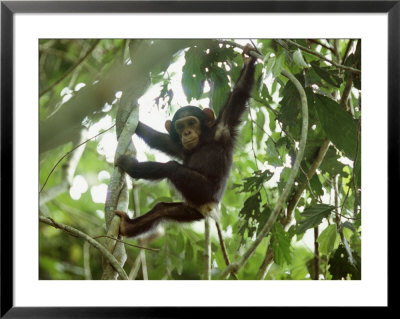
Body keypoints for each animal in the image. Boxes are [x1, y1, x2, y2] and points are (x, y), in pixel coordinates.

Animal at [115, 46, 256, 239]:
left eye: (191, 122)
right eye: (181, 126)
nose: (187, 133)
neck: (203, 140)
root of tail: (208, 208)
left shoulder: (224, 127)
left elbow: (239, 93)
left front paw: (248, 61)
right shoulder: (179, 146)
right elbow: (160, 140)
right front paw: (129, 119)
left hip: (202, 190)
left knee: (171, 167)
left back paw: (131, 167)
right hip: (189, 211)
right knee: (161, 210)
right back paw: (128, 226)